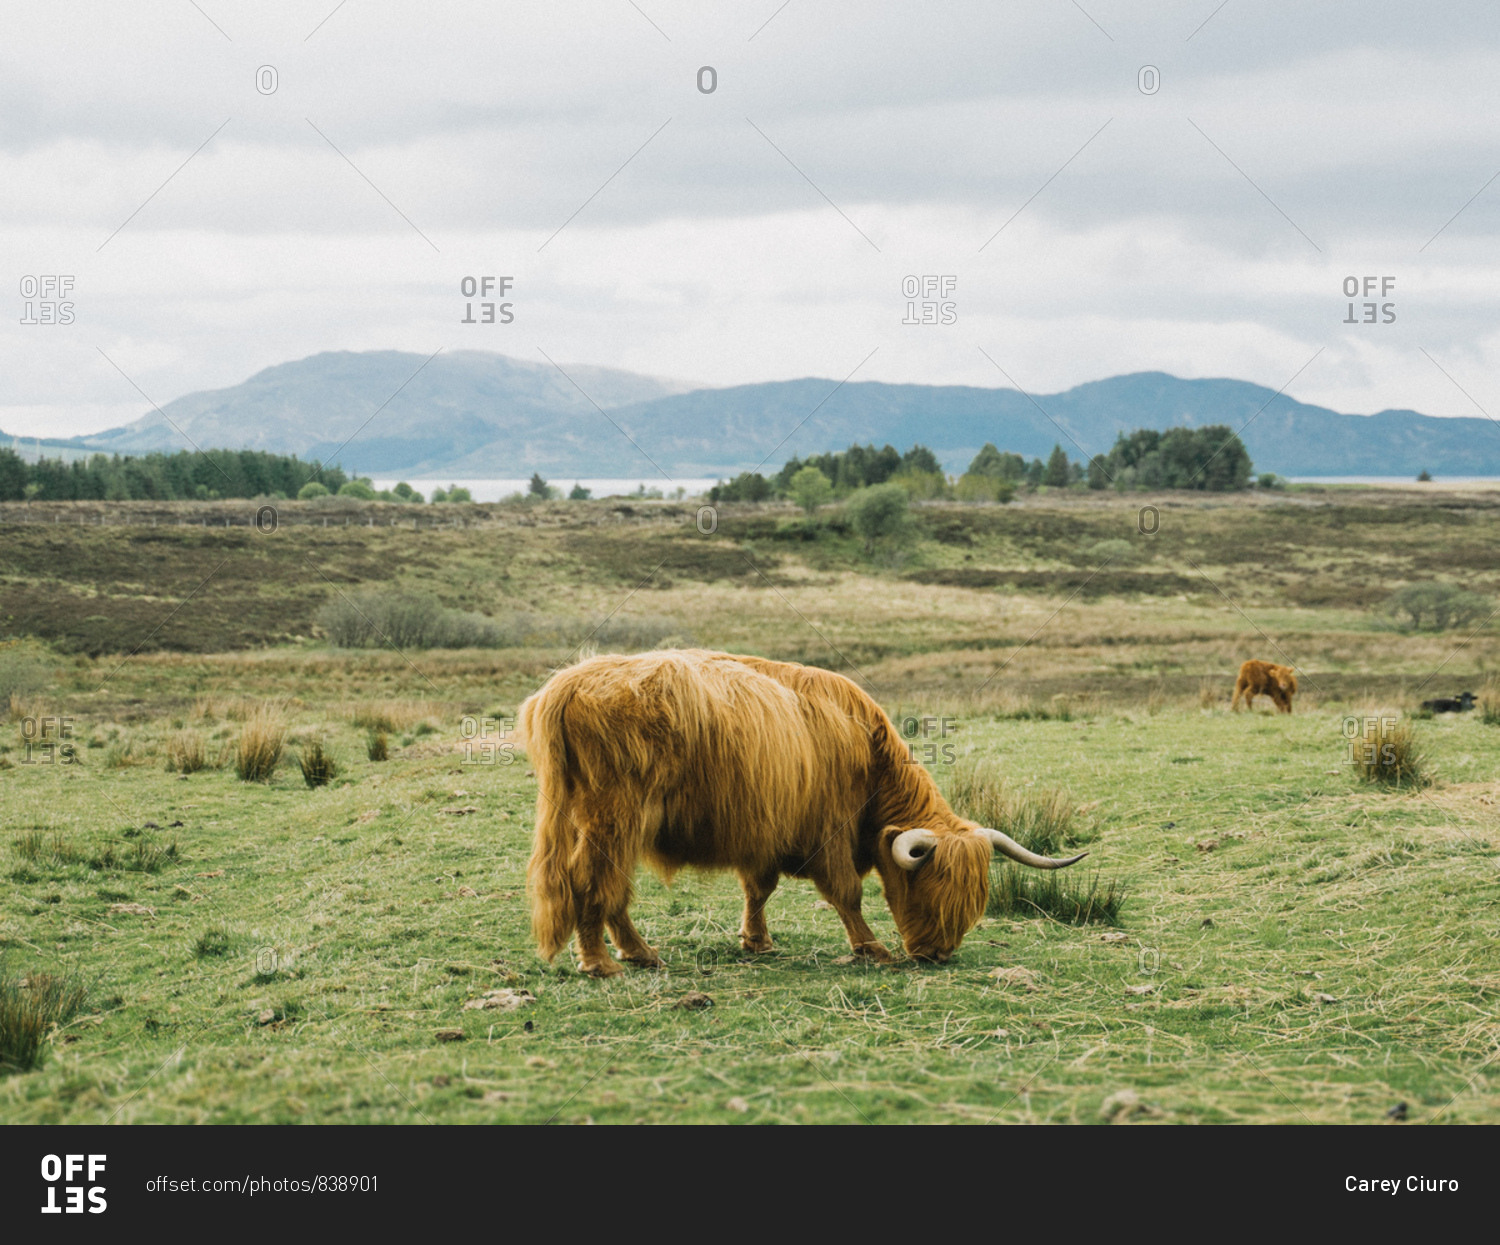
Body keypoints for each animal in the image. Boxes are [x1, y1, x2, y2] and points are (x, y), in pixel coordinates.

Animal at [522, 648, 1086, 978]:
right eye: (928, 885)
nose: (937, 953)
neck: (868, 754)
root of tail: (569, 682)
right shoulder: (829, 832)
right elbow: (847, 893)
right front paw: (871, 948)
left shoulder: (766, 833)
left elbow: (759, 889)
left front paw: (757, 942)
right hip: (615, 815)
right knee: (592, 879)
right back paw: (600, 962)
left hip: (595, 819)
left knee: (610, 887)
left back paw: (637, 952)